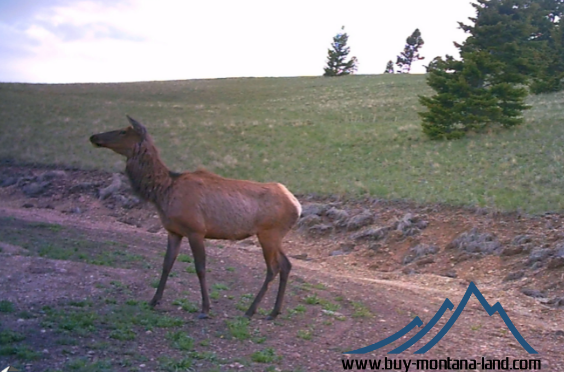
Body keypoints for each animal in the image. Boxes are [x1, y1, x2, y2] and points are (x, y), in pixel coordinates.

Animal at [89, 116, 300, 320]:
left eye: (123, 131)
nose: (93, 136)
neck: (163, 193)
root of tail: (297, 205)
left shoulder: (196, 230)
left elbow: (200, 268)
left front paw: (205, 308)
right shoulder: (173, 231)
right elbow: (166, 264)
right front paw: (154, 300)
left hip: (268, 233)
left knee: (273, 268)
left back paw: (251, 310)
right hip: (275, 236)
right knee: (286, 265)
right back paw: (273, 312)